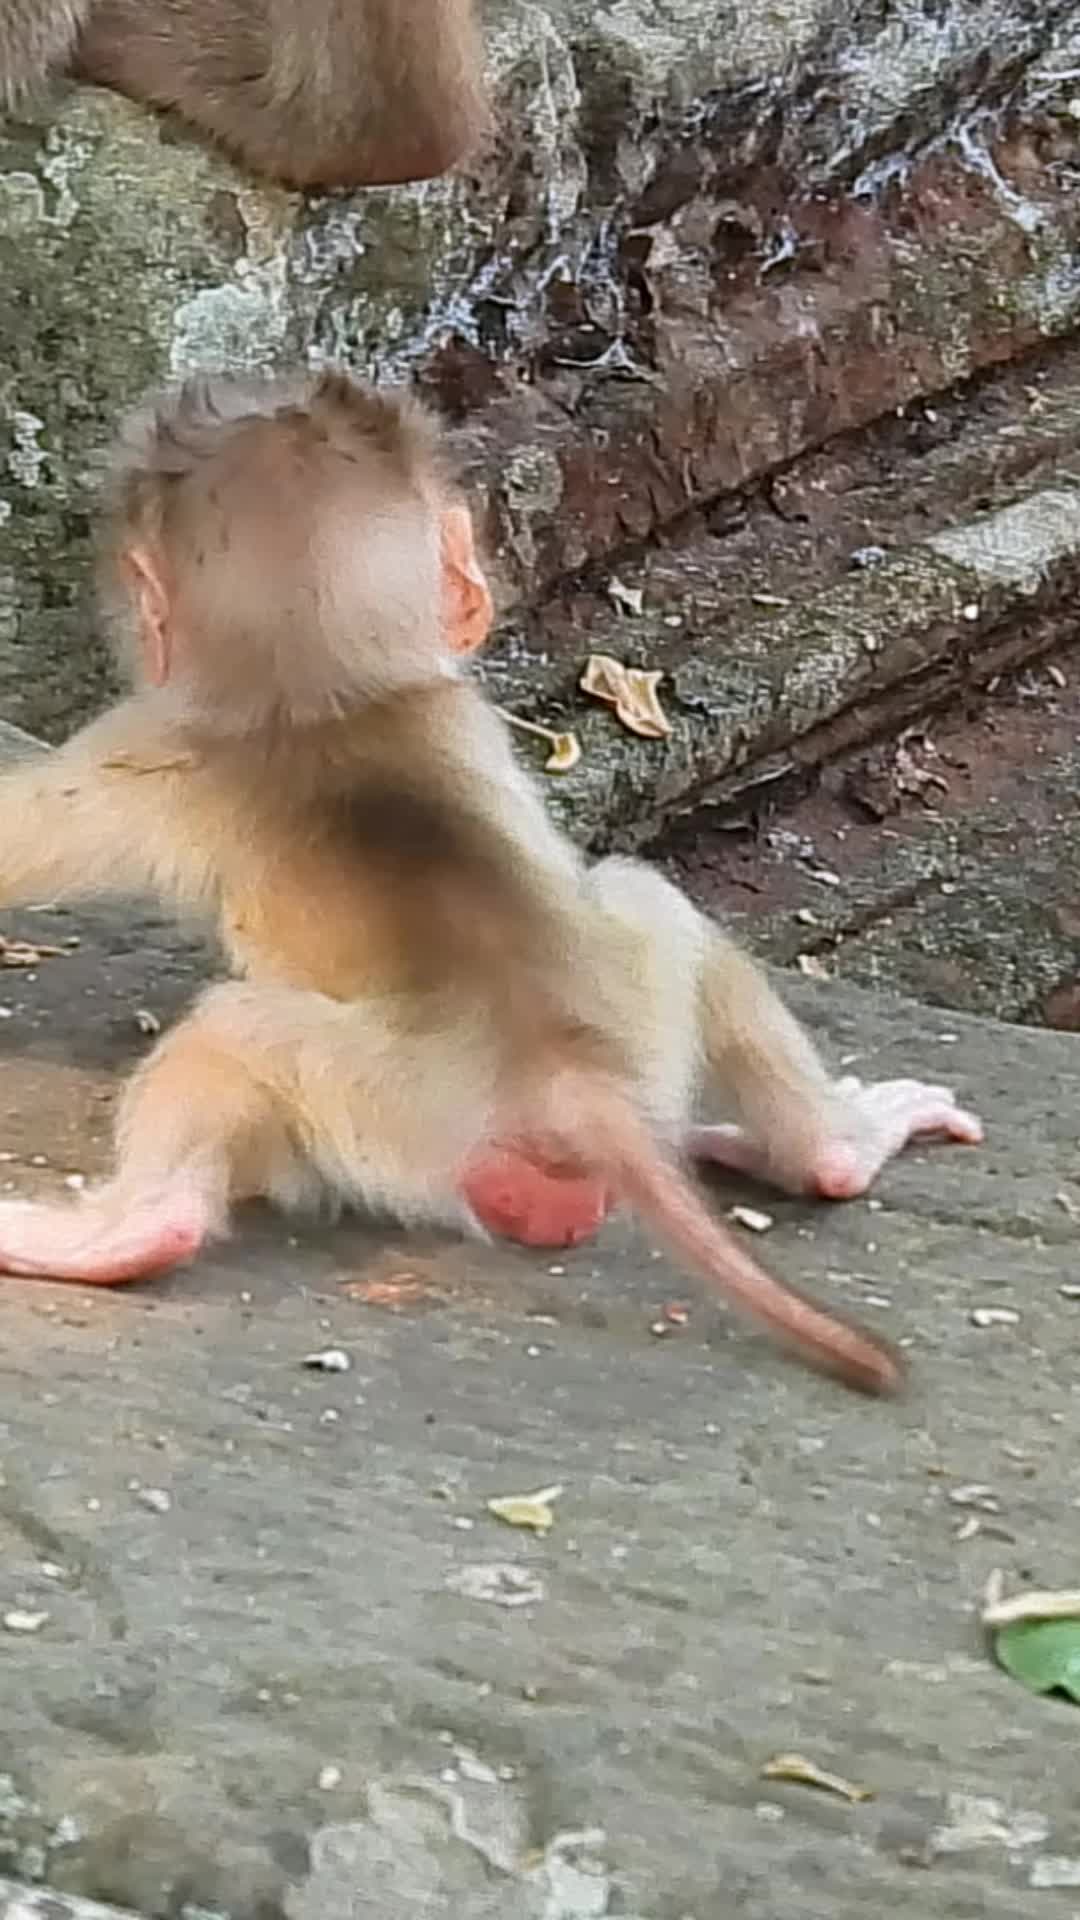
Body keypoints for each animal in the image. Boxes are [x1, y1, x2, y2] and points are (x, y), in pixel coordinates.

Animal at [0, 371, 983, 1397]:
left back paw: (127, 1232)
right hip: (628, 1031)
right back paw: (833, 1151)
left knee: (237, 1035)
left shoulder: (141, 748)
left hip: (402, 1114)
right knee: (650, 905)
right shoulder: (453, 702)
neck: (323, 695)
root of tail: (570, 1085)